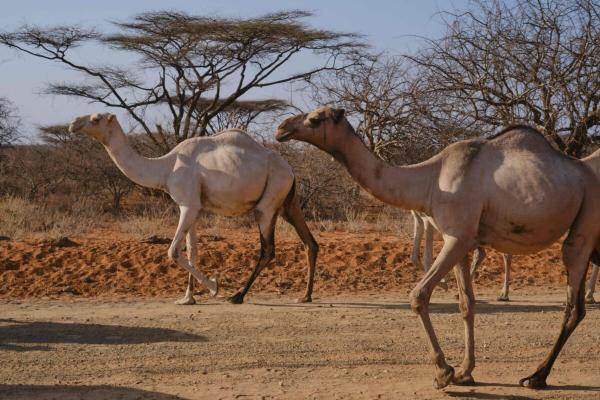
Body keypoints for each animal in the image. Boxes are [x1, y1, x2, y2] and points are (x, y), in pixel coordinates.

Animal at [69, 112, 318, 304]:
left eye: (95, 118)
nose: (73, 124)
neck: (166, 168)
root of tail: (291, 170)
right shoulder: (195, 208)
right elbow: (192, 251)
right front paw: (188, 298)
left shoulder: (187, 205)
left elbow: (173, 251)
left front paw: (215, 286)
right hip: (288, 202)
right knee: (309, 242)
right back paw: (305, 296)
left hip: (269, 200)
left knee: (268, 248)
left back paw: (238, 295)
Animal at [276, 108, 600, 390]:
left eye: (316, 118)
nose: (282, 128)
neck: (431, 179)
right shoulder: (462, 241)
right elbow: (467, 304)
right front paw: (466, 372)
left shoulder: (458, 237)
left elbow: (418, 296)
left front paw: (444, 372)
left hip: (584, 226)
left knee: (573, 304)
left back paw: (536, 377)